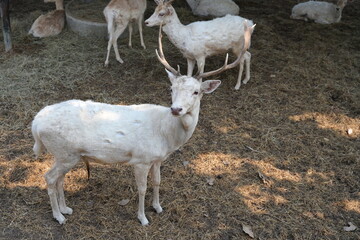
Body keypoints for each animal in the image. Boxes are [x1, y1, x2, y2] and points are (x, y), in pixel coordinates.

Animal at [32, 20, 255, 225]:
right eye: (171, 88)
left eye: (196, 91)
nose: (176, 109)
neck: (167, 136)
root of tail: (36, 123)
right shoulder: (141, 159)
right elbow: (142, 188)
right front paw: (143, 218)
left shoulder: (157, 158)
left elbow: (157, 182)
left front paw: (158, 207)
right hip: (65, 152)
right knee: (49, 177)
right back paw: (59, 216)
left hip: (66, 155)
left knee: (59, 178)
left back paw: (66, 208)